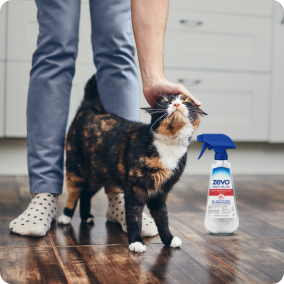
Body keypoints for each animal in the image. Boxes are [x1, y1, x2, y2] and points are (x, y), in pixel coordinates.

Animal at [57, 74, 206, 252]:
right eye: (166, 102)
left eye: (186, 101)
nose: (176, 104)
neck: (169, 145)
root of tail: (89, 109)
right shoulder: (135, 188)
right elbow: (134, 217)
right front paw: (136, 241)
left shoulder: (160, 192)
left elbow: (163, 218)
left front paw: (168, 239)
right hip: (75, 169)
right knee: (74, 193)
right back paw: (65, 216)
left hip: (99, 174)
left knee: (86, 193)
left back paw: (86, 216)